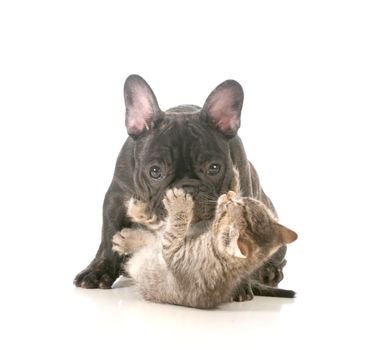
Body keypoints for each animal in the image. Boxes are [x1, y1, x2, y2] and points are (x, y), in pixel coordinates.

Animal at [74, 74, 288, 298]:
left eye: (214, 168)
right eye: (155, 171)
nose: (187, 190)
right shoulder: (116, 198)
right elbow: (109, 235)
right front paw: (98, 271)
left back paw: (268, 271)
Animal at [113, 190, 298, 310]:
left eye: (229, 207)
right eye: (245, 200)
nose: (230, 193)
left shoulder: (174, 253)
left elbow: (172, 230)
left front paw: (179, 204)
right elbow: (160, 226)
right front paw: (140, 211)